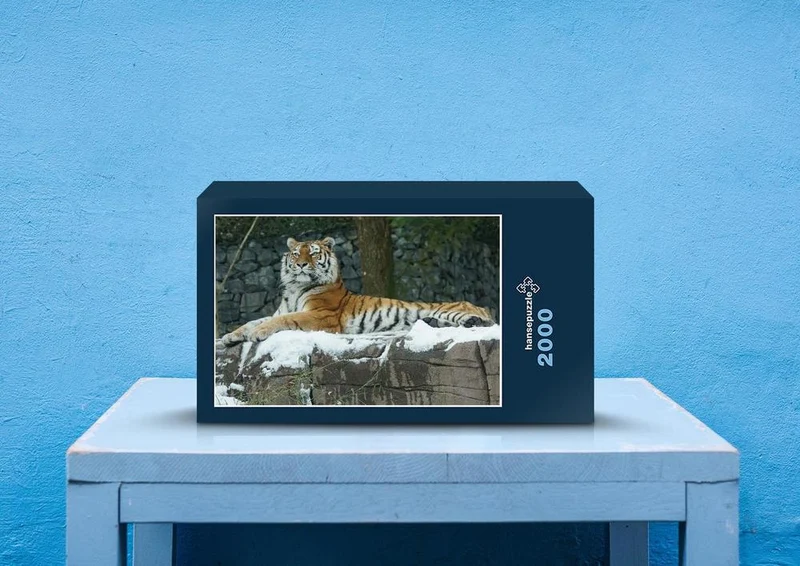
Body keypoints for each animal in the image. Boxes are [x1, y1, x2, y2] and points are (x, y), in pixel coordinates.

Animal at [220, 236, 495, 346]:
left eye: (314, 253)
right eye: (297, 253)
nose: (300, 265)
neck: (295, 288)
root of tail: (480, 305)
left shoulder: (321, 316)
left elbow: (284, 320)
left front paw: (258, 333)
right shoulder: (280, 309)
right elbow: (253, 320)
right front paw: (230, 336)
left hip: (453, 311)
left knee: (484, 323)